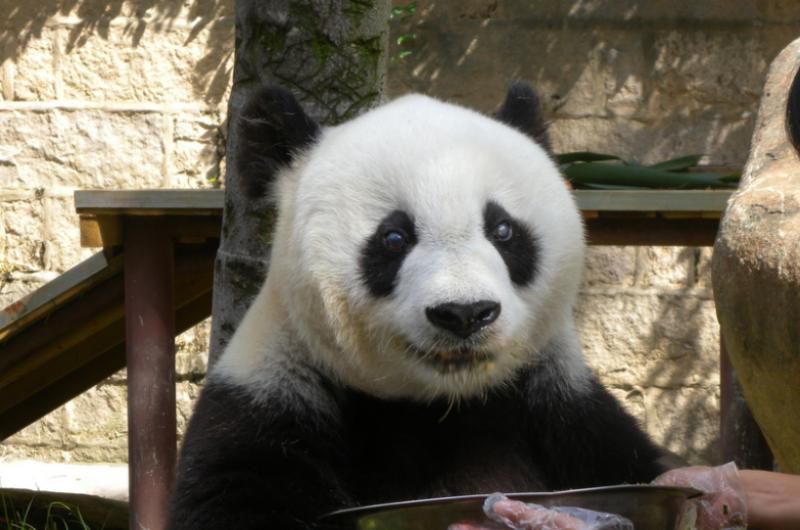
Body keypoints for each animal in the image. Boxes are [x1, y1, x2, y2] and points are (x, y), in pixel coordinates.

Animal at [167, 83, 668, 529]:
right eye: (394, 237)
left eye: (503, 230)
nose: (465, 313)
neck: (440, 404)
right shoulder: (269, 400)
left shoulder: (562, 408)